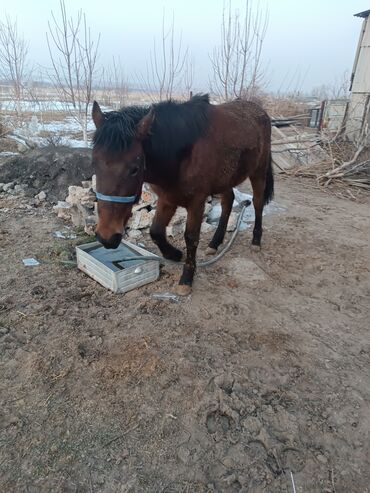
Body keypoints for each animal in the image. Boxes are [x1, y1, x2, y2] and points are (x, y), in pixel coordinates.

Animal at [91, 95, 274, 294]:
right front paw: (174, 254)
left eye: (134, 169)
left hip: (258, 172)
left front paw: (187, 278)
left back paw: (256, 240)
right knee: (228, 202)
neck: (180, 156)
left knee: (257, 203)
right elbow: (156, 231)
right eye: (94, 163)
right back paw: (215, 243)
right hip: (225, 179)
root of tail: (261, 111)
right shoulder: (167, 198)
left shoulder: (196, 203)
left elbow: (191, 237)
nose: (106, 237)